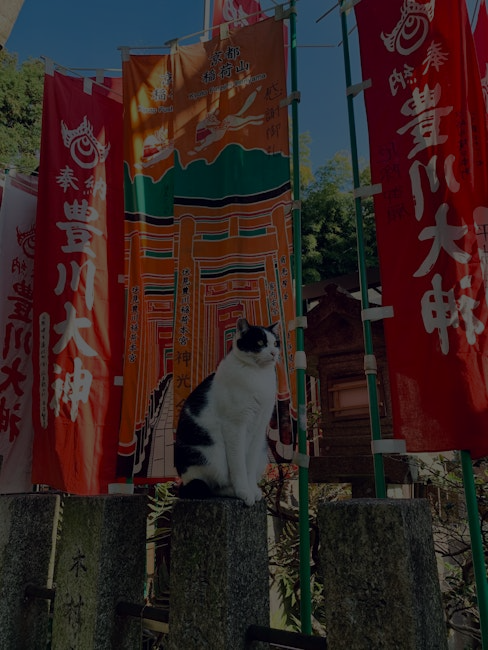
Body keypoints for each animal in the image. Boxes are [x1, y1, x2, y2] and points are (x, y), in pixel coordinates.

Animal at [174, 317, 280, 506]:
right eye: (260, 342)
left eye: (276, 343)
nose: (274, 353)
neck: (258, 376)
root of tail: (185, 479)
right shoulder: (235, 426)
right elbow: (239, 465)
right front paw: (244, 492)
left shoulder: (260, 425)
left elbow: (249, 466)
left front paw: (252, 489)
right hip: (214, 458)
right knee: (212, 487)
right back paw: (234, 492)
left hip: (262, 453)